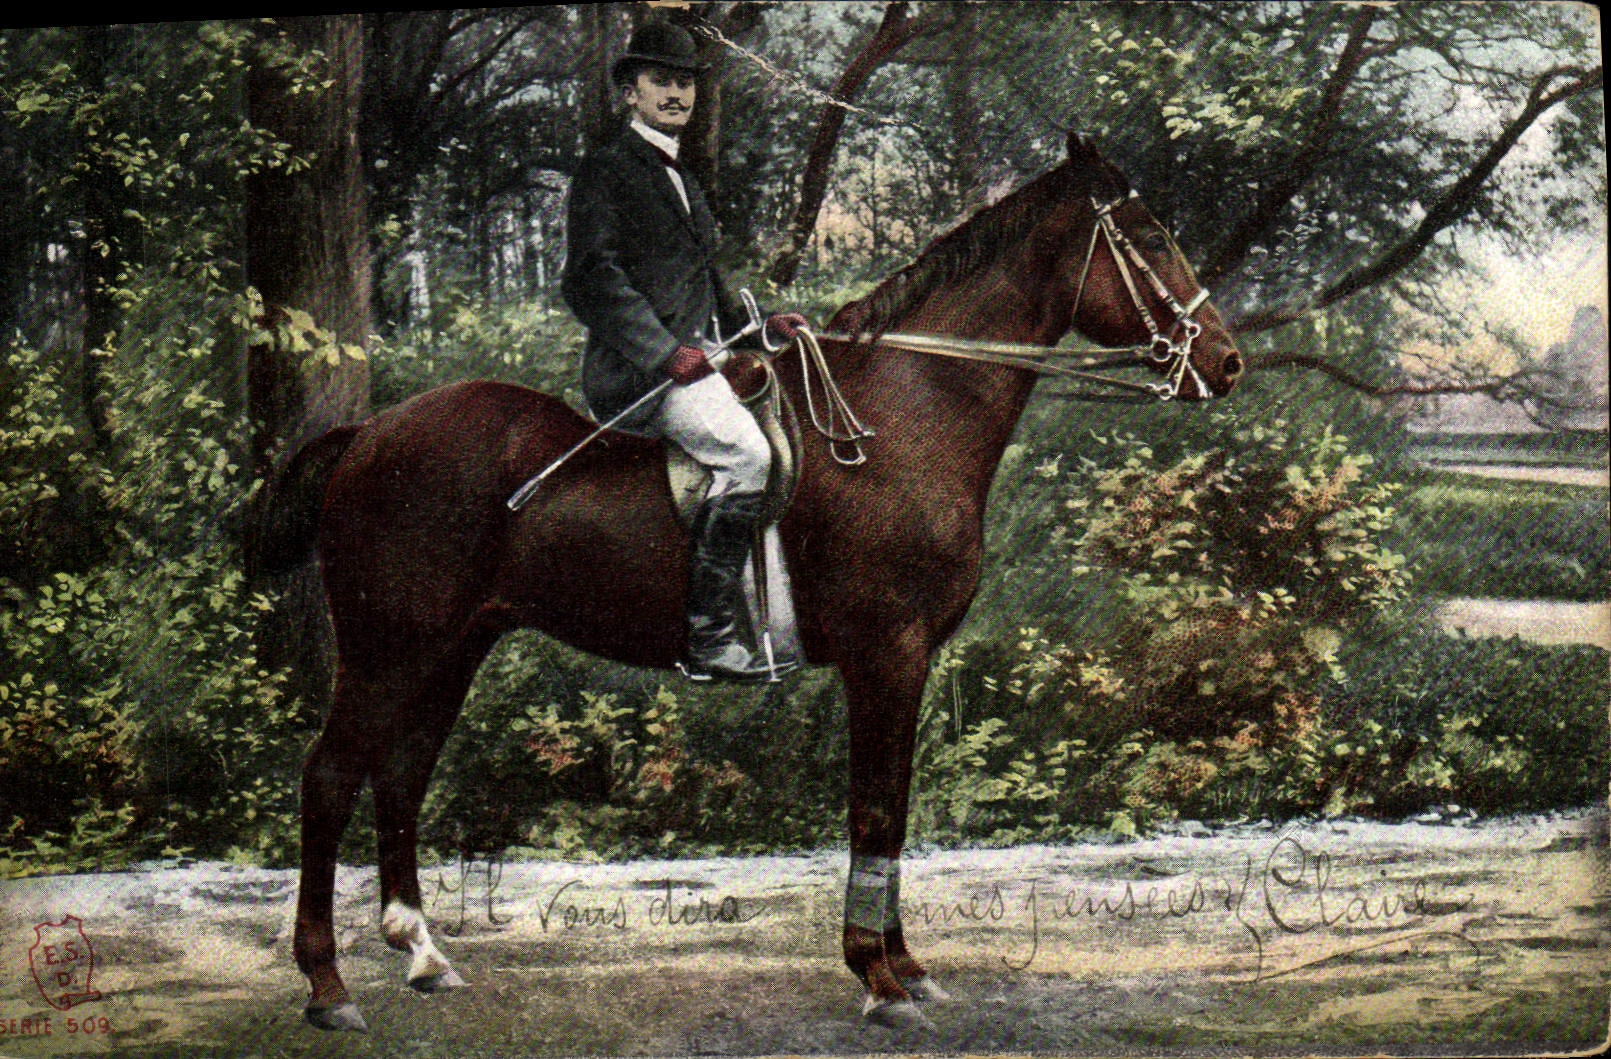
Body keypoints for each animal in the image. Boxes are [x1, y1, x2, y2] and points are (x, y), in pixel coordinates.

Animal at [262, 130, 1243, 1032]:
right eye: (1150, 236)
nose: (1226, 361)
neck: (904, 415)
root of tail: (368, 433)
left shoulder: (904, 663)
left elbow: (891, 810)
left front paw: (905, 966)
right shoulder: (885, 656)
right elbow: (875, 810)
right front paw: (878, 978)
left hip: (451, 647)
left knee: (401, 772)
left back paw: (424, 954)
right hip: (389, 647)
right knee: (329, 776)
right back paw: (327, 987)